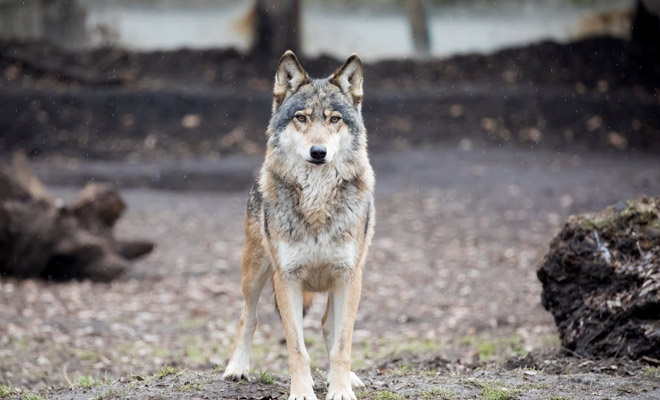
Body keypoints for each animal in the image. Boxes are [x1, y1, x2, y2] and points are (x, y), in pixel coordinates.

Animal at [223, 51, 374, 400]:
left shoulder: (349, 276)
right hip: (254, 274)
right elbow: (297, 348)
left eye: (334, 119)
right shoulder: (286, 278)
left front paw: (341, 390)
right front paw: (302, 392)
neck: (316, 202)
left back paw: (348, 378)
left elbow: (342, 345)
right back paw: (237, 367)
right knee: (247, 316)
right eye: (301, 118)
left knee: (328, 325)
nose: (318, 152)